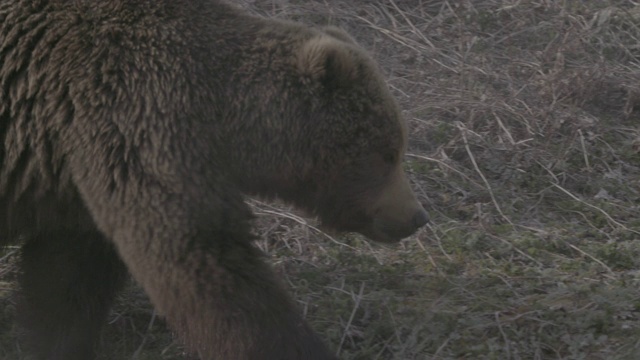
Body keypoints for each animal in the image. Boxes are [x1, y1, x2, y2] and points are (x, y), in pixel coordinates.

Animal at [0, 0, 430, 360]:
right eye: (388, 152)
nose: (416, 216)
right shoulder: (141, 122)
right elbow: (208, 265)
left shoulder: (77, 171)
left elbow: (67, 276)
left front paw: (56, 341)